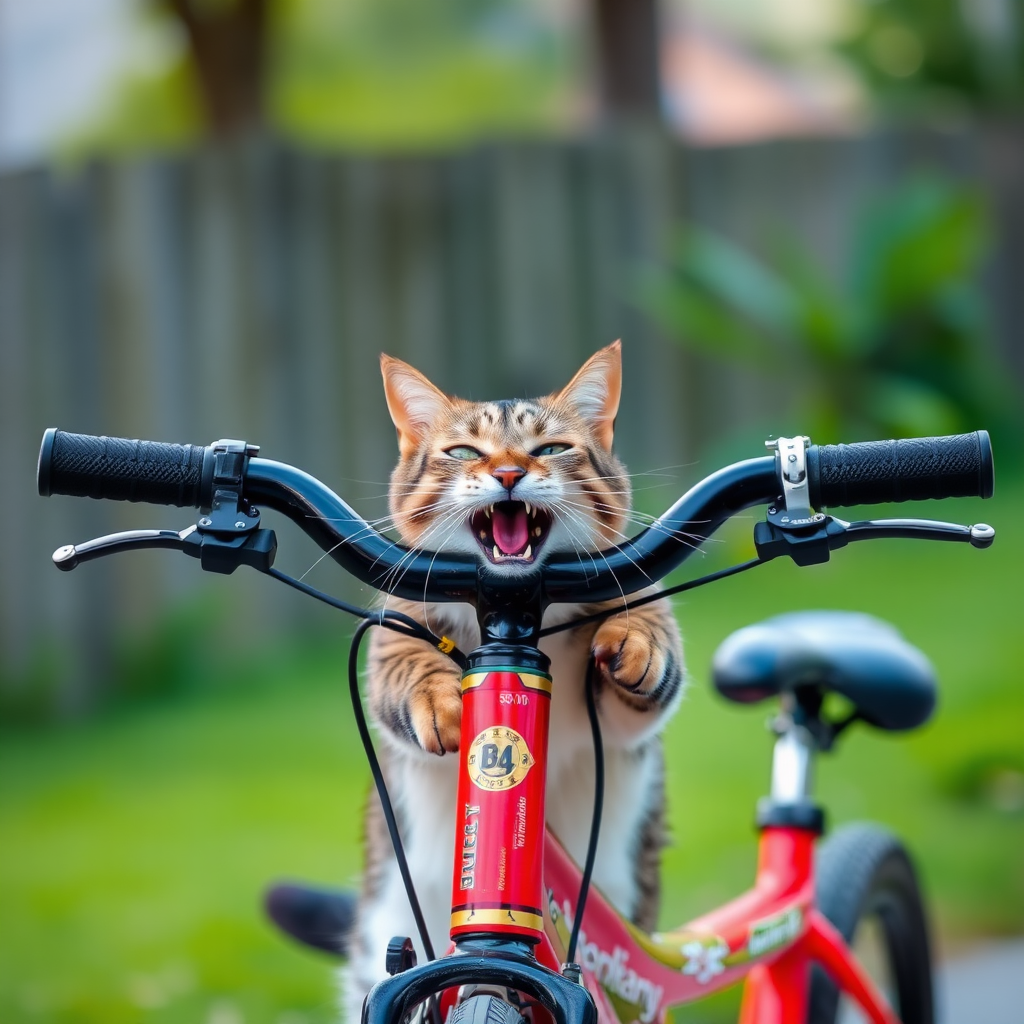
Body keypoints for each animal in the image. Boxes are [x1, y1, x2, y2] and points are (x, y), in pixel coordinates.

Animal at [339, 342, 684, 1015]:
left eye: (550, 448)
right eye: (463, 452)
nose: (506, 474)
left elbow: (645, 626)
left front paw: (640, 639)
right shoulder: (399, 622)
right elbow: (406, 666)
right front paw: (441, 700)